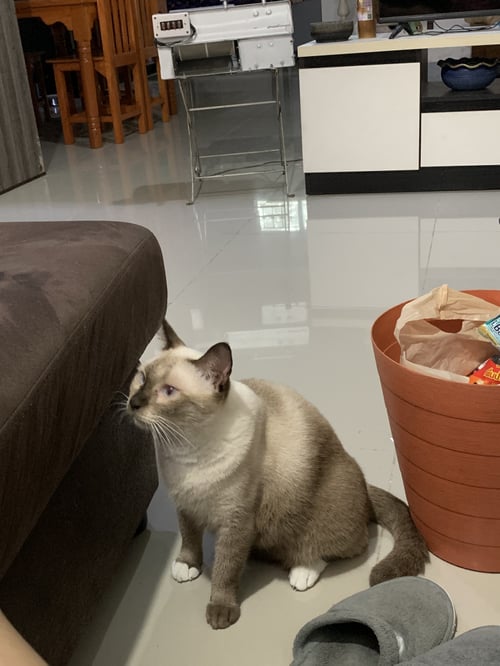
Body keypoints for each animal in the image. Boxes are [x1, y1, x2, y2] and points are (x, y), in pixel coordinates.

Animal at [127, 321, 429, 630]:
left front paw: (221, 611)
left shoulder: (236, 521)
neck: (184, 447)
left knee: (335, 548)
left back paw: (302, 572)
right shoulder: (186, 503)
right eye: (141, 378)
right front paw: (187, 566)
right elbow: (189, 539)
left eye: (169, 391)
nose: (134, 403)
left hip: (317, 519)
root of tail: (366, 489)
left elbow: (226, 568)